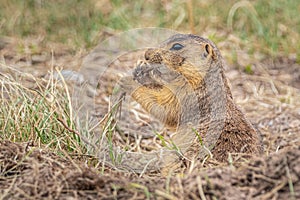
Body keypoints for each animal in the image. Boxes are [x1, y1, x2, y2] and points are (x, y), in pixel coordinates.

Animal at [116, 33, 262, 170]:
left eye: (177, 46)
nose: (146, 54)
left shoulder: (186, 94)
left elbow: (166, 107)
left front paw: (127, 80)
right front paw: (140, 69)